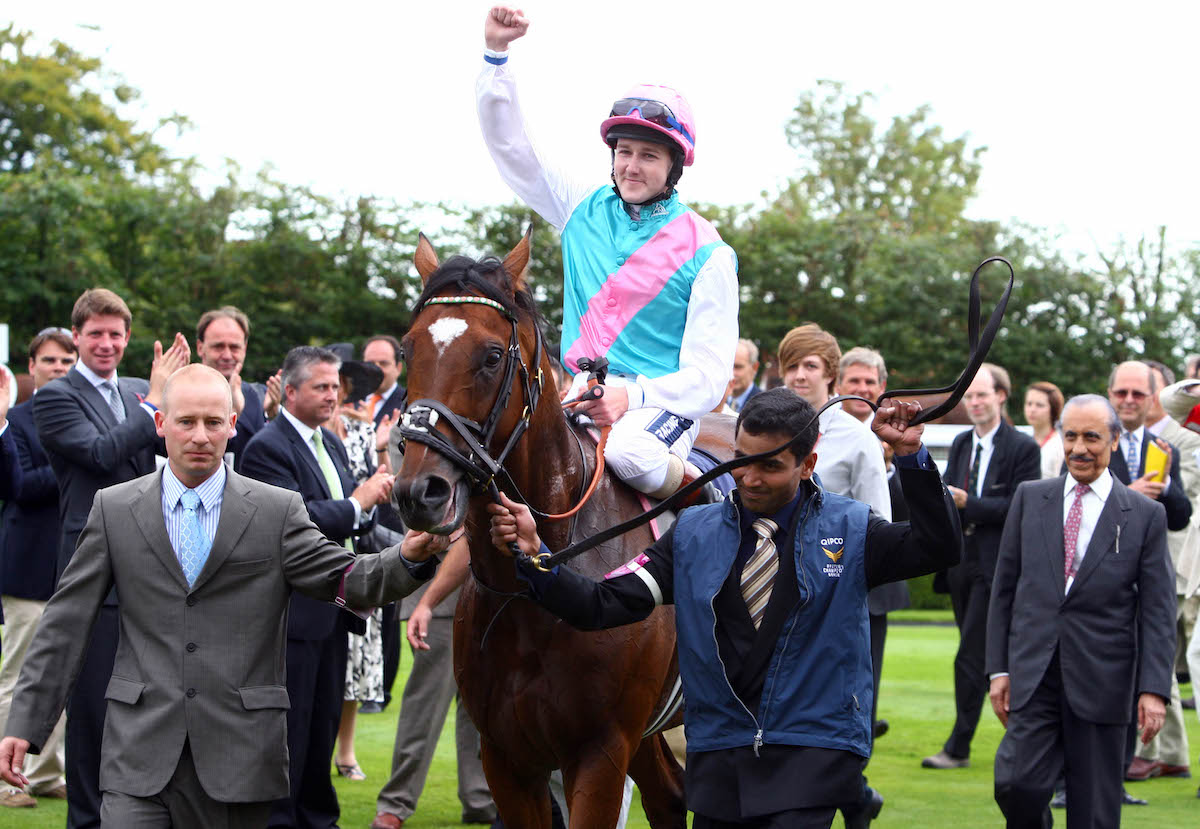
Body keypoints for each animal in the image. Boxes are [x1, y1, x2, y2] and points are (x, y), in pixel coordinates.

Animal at [388, 229, 705, 829]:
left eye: (492, 356)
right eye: (406, 350)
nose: (421, 492)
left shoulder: (600, 751)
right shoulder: (506, 758)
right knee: (671, 794)